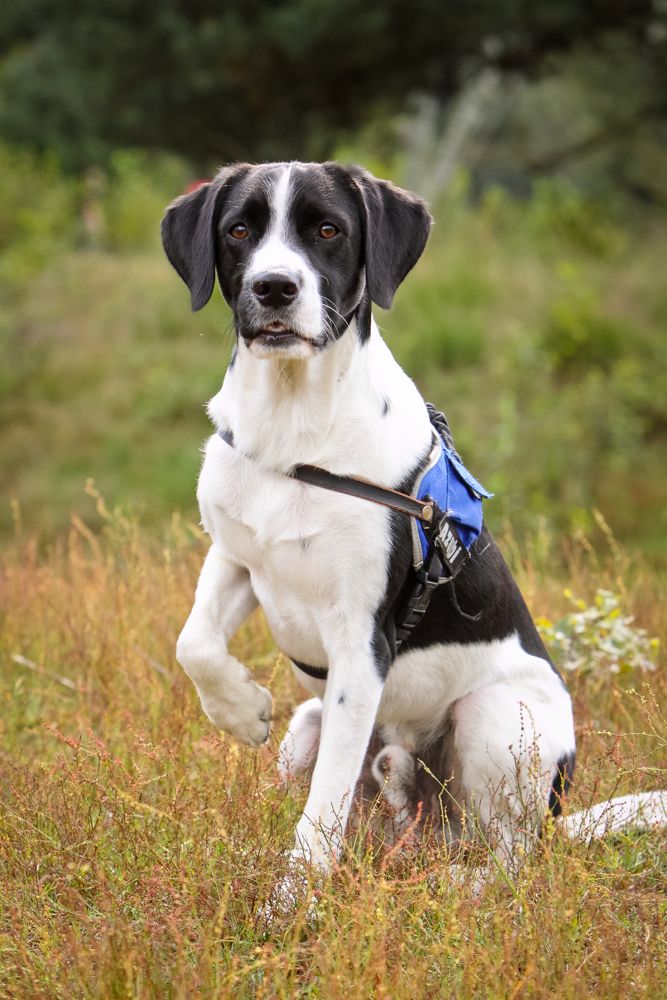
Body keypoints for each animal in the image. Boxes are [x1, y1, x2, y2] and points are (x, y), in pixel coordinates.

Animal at [160, 160, 656, 880]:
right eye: (239, 230)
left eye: (328, 230)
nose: (274, 287)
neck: (292, 426)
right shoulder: (237, 555)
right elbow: (193, 642)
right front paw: (239, 709)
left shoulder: (360, 643)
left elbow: (321, 810)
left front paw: (291, 899)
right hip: (308, 730)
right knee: (389, 803)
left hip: (494, 716)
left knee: (507, 859)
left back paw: (457, 880)